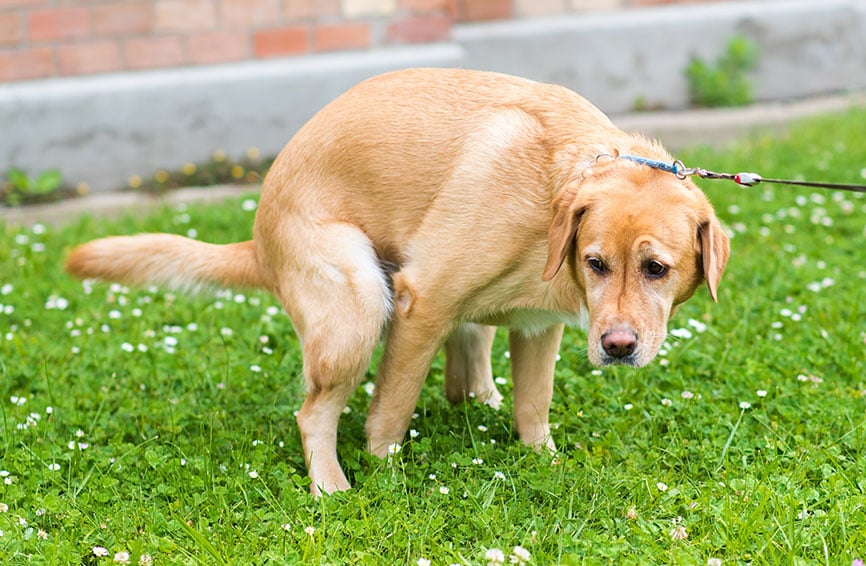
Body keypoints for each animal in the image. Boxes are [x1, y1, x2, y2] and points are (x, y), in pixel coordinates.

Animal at [64, 67, 724, 496]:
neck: (555, 189)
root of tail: (259, 239)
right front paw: (385, 472)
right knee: (314, 414)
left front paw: (544, 460)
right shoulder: (420, 303)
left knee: (467, 368)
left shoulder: (538, 330)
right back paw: (331, 485)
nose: (617, 347)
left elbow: (534, 407)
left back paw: (478, 400)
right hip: (357, 306)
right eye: (596, 263)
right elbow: (390, 411)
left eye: (656, 268)